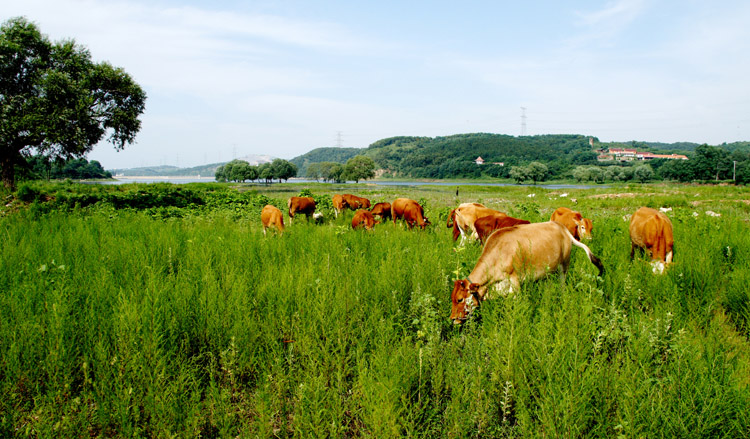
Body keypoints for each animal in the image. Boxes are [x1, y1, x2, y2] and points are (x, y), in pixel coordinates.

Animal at [450, 223, 608, 324]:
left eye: (460, 299)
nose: (452, 318)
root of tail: (561, 227)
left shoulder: (515, 282)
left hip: (564, 267)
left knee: (562, 286)